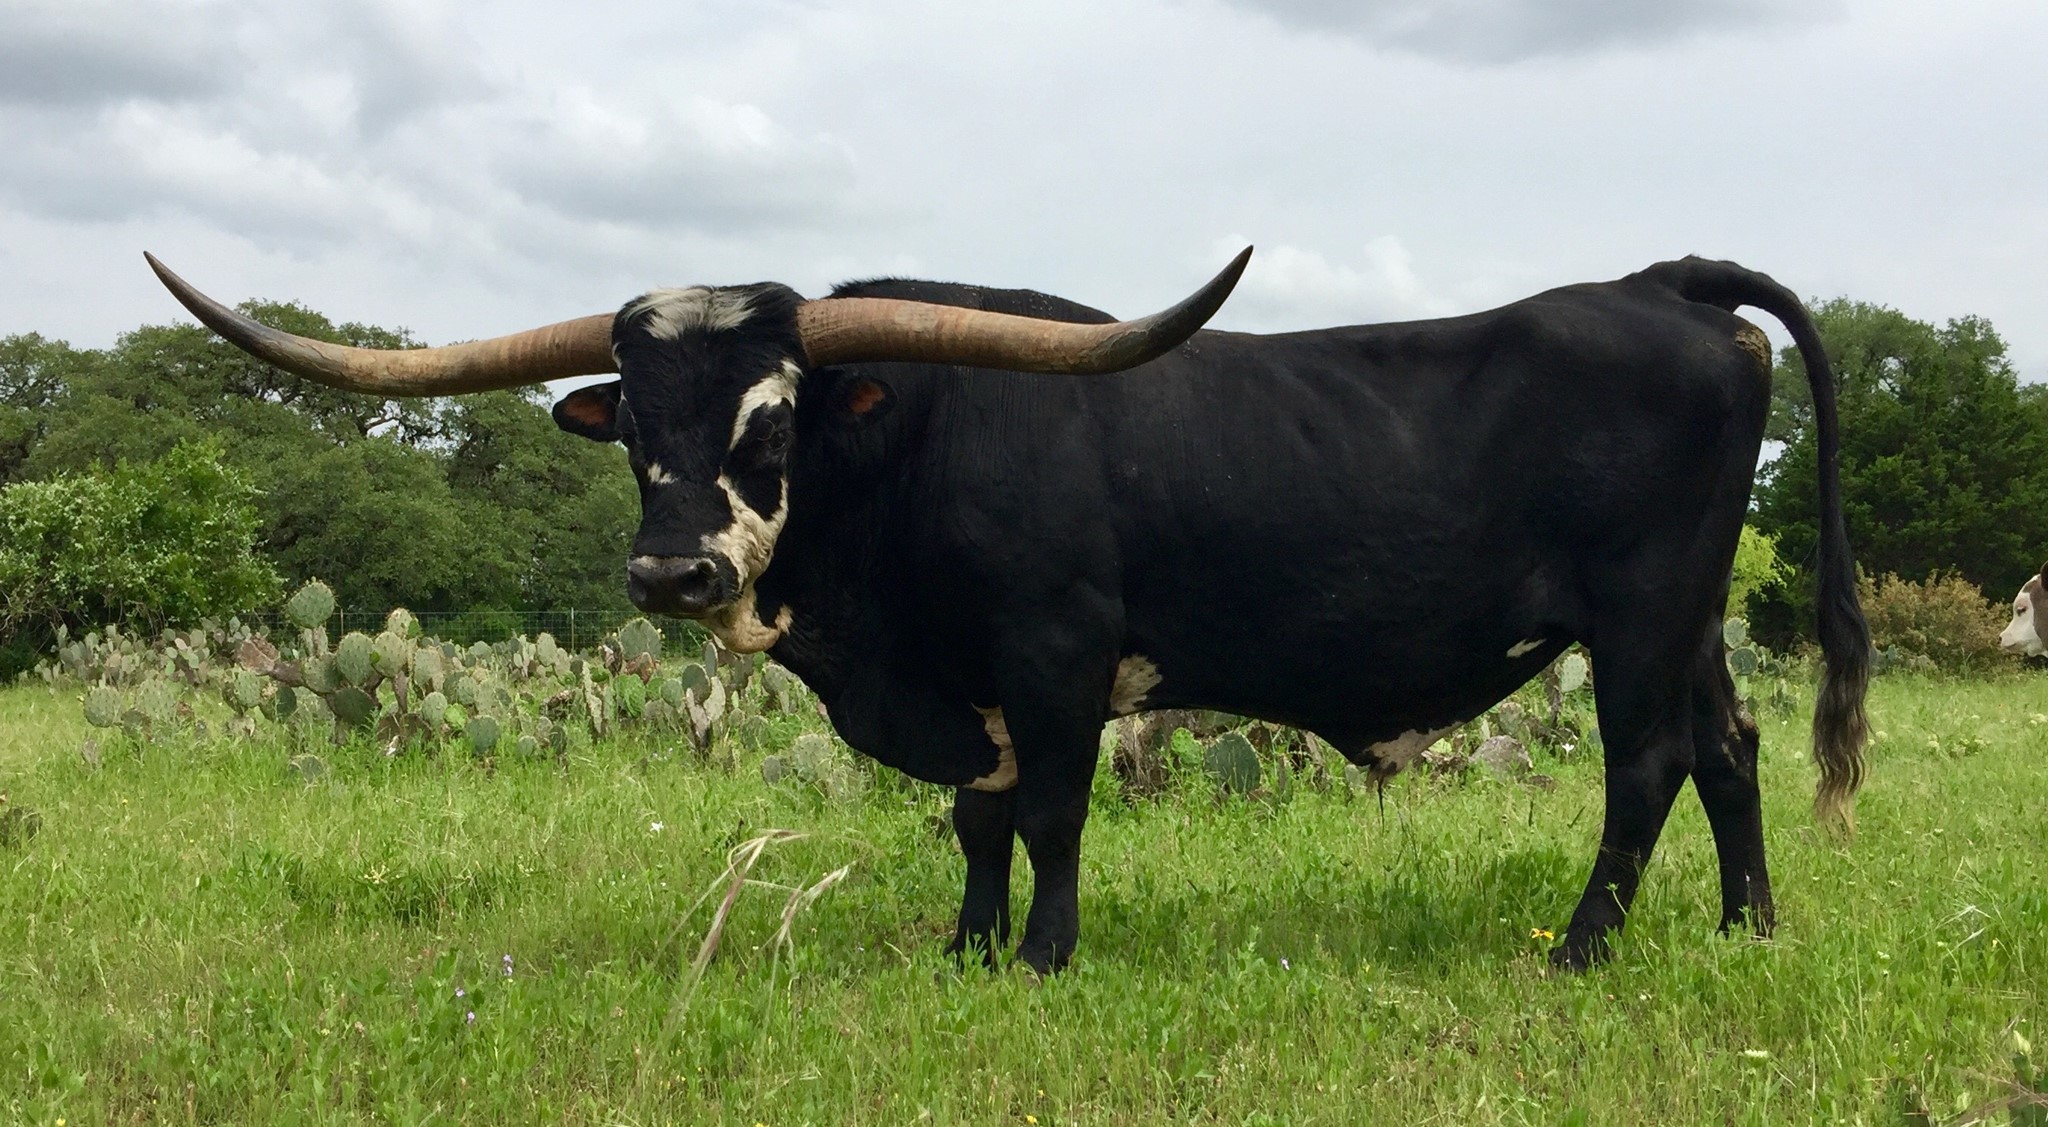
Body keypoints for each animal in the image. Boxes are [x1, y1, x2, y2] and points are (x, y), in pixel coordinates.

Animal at [146, 248, 1869, 975]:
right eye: (632, 422)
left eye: (774, 414)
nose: (675, 575)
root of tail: (1660, 288)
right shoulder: (958, 678)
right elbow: (974, 820)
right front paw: (965, 946)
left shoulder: (1051, 656)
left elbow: (1044, 812)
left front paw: (1041, 955)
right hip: (1686, 621)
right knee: (1733, 746)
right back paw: (1751, 925)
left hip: (1640, 614)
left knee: (1646, 765)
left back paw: (1579, 949)